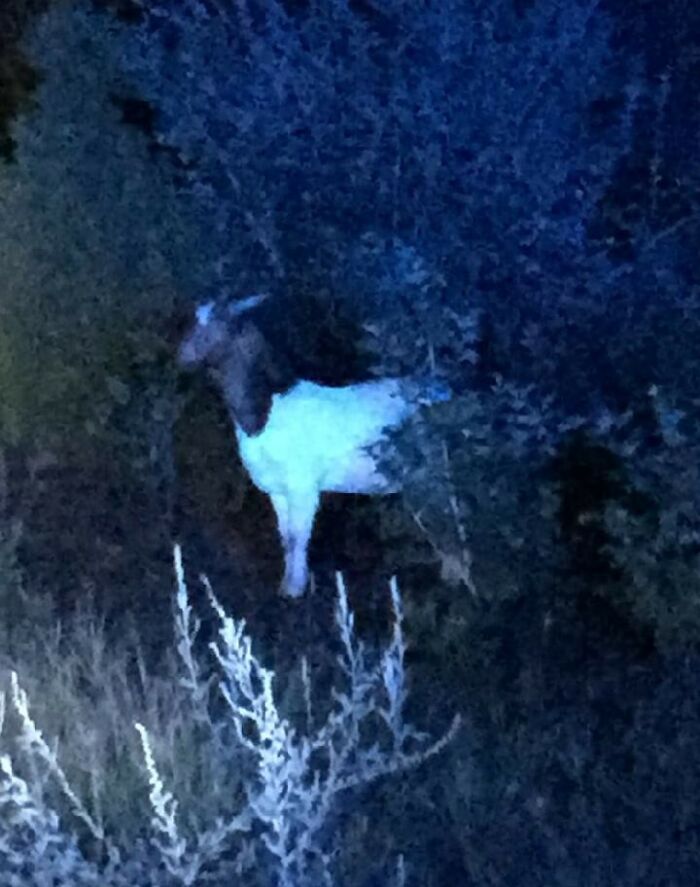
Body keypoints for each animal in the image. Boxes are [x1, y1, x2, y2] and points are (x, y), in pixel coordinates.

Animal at [178, 293, 451, 597]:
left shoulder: (303, 485)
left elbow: (298, 537)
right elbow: (286, 538)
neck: (266, 412)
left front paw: (295, 590)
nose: (182, 355)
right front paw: (287, 586)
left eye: (221, 324)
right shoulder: (277, 490)